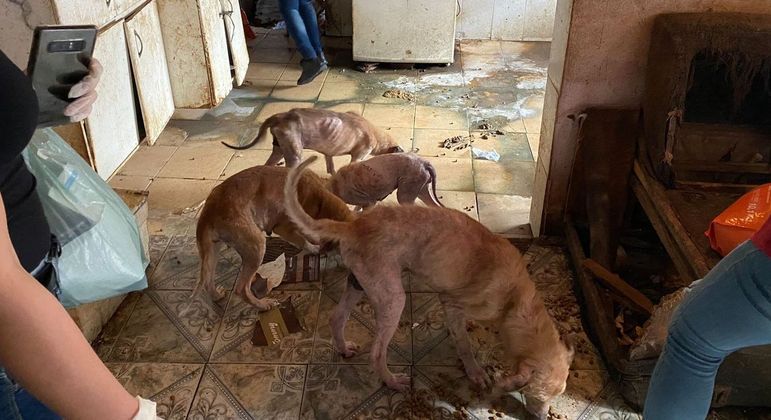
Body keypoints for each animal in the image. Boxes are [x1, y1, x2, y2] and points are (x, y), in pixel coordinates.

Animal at [193, 166, 352, 310]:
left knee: (208, 281)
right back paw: (263, 305)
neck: (320, 200)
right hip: (257, 246)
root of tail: (208, 211)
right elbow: (306, 241)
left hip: (213, 251)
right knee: (242, 288)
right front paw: (319, 250)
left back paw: (217, 296)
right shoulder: (285, 229)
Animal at [220, 108, 404, 176]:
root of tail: (280, 116)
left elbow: (331, 167)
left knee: (268, 165)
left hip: (279, 149)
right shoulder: (358, 156)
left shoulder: (329, 153)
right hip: (294, 153)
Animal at [284, 157, 572, 416]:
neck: (516, 299)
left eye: (559, 395)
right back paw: (392, 381)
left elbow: (459, 333)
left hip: (360, 283)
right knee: (376, 353)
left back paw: (344, 349)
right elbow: (464, 345)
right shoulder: (452, 302)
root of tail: (353, 225)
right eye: (537, 396)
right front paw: (475, 372)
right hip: (393, 298)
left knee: (336, 318)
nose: (544, 416)